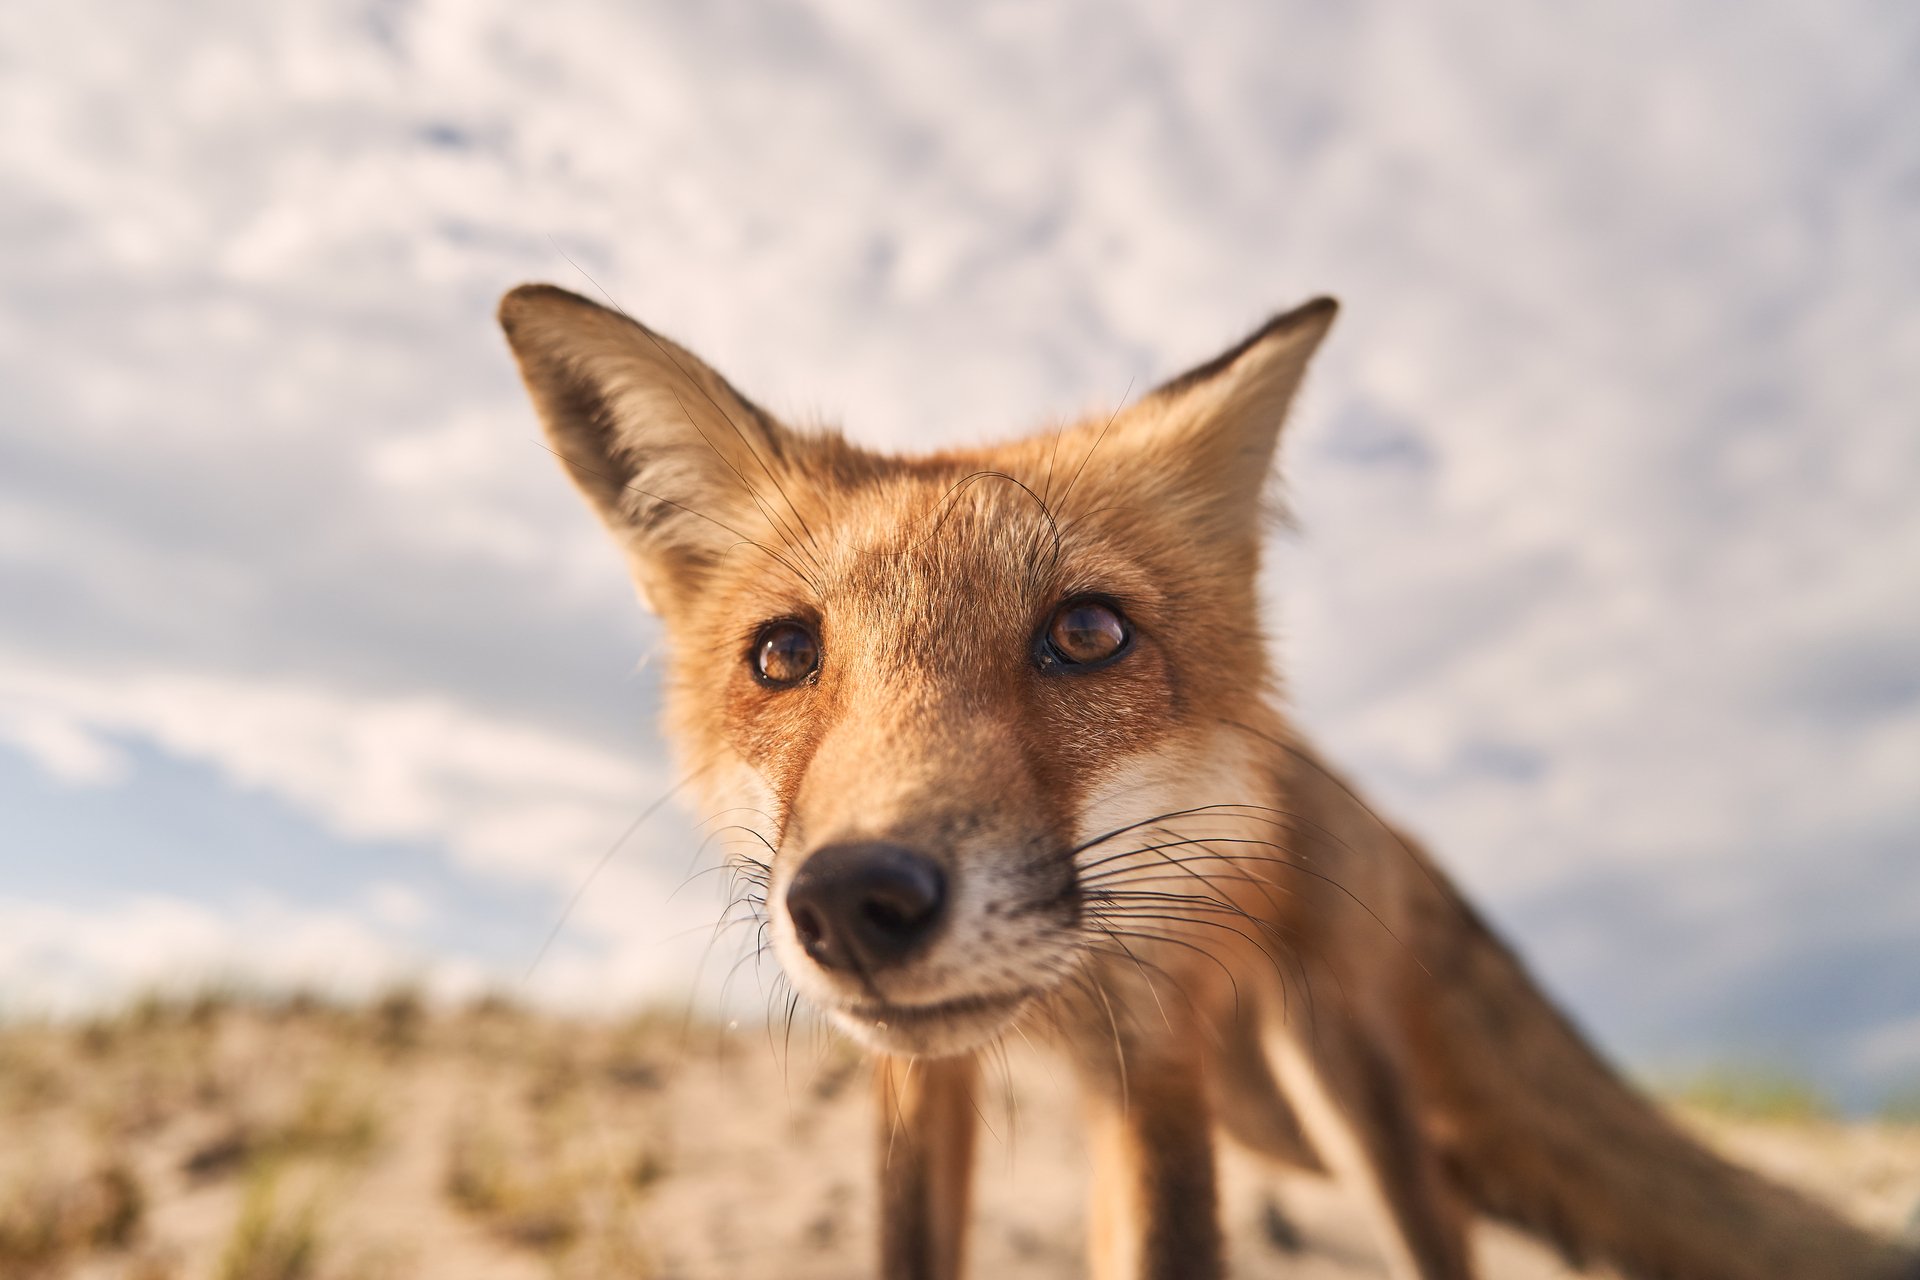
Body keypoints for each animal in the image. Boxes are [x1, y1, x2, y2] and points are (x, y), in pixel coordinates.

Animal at [499, 287, 1920, 1280]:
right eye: (784, 655)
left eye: (1086, 633)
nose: (853, 901)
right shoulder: (919, 1083)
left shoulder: (1158, 1051)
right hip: (1253, 1108)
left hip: (1335, 1086)